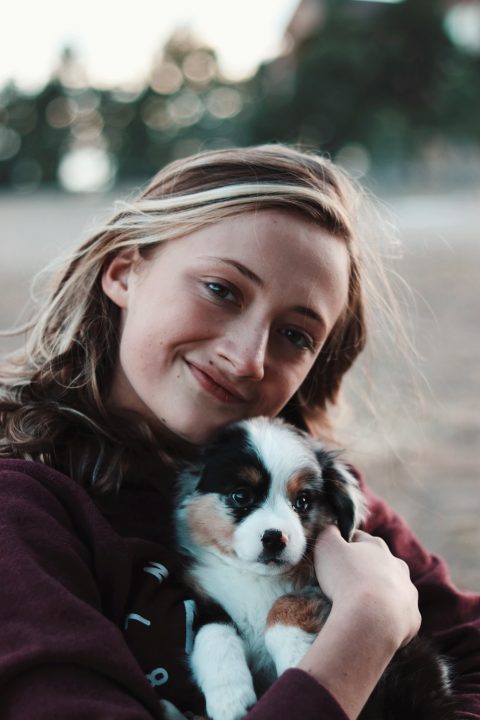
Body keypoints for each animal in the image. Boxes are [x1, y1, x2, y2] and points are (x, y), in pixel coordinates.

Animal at [176, 416, 454, 720]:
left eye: (303, 501)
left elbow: (284, 606)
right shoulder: (206, 598)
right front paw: (229, 698)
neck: (258, 580)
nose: (275, 538)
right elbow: (213, 633)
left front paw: (297, 660)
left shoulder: (316, 590)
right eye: (240, 496)